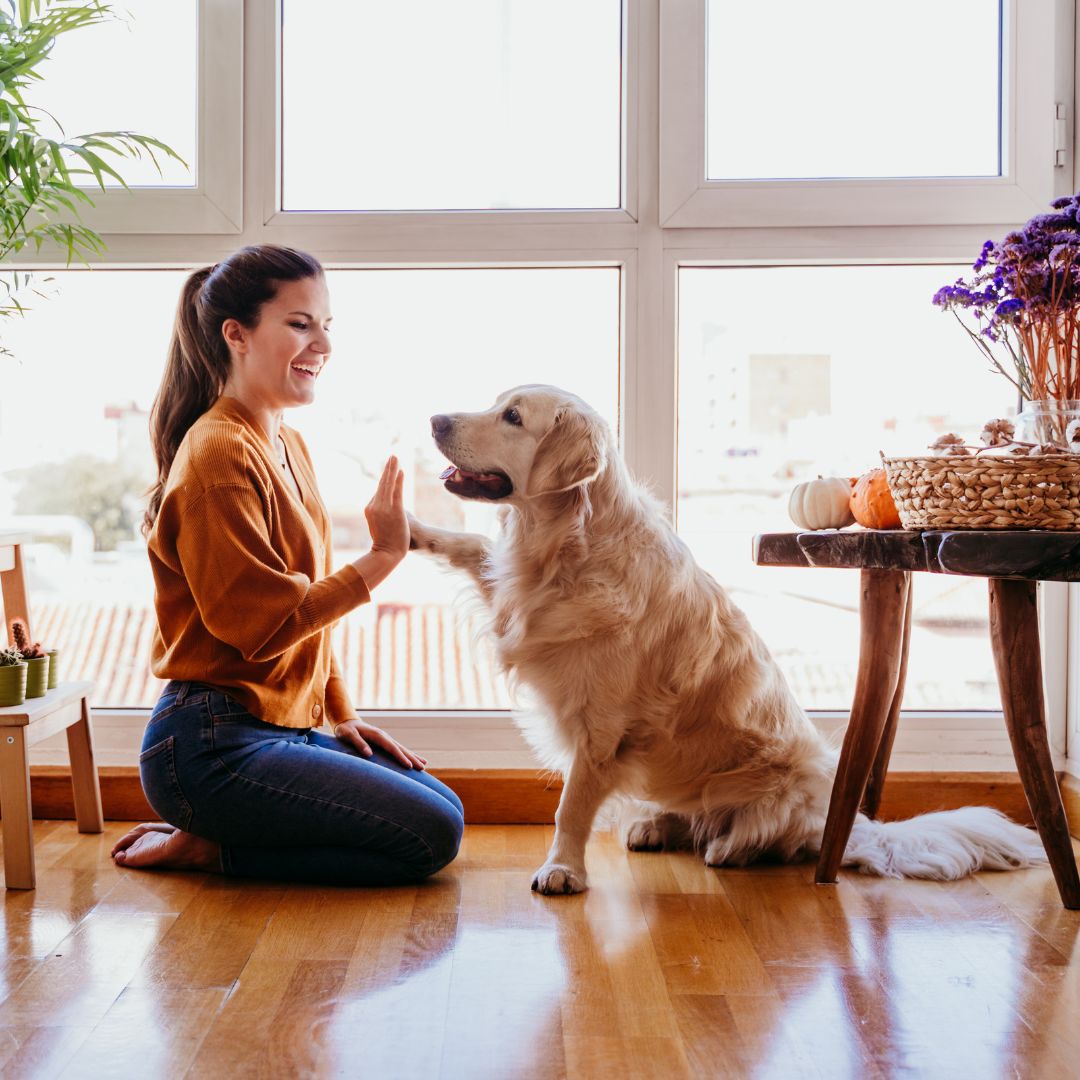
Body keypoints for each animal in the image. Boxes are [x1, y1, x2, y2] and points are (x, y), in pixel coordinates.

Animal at [406, 384, 1045, 889]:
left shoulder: (601, 726)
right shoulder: (514, 594)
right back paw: (656, 826)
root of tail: (843, 824)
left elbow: (571, 807)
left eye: (513, 416)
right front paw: (409, 527)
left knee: (767, 836)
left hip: (790, 780)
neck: (565, 546)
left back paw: (729, 848)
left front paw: (562, 869)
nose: (434, 420)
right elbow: (471, 546)